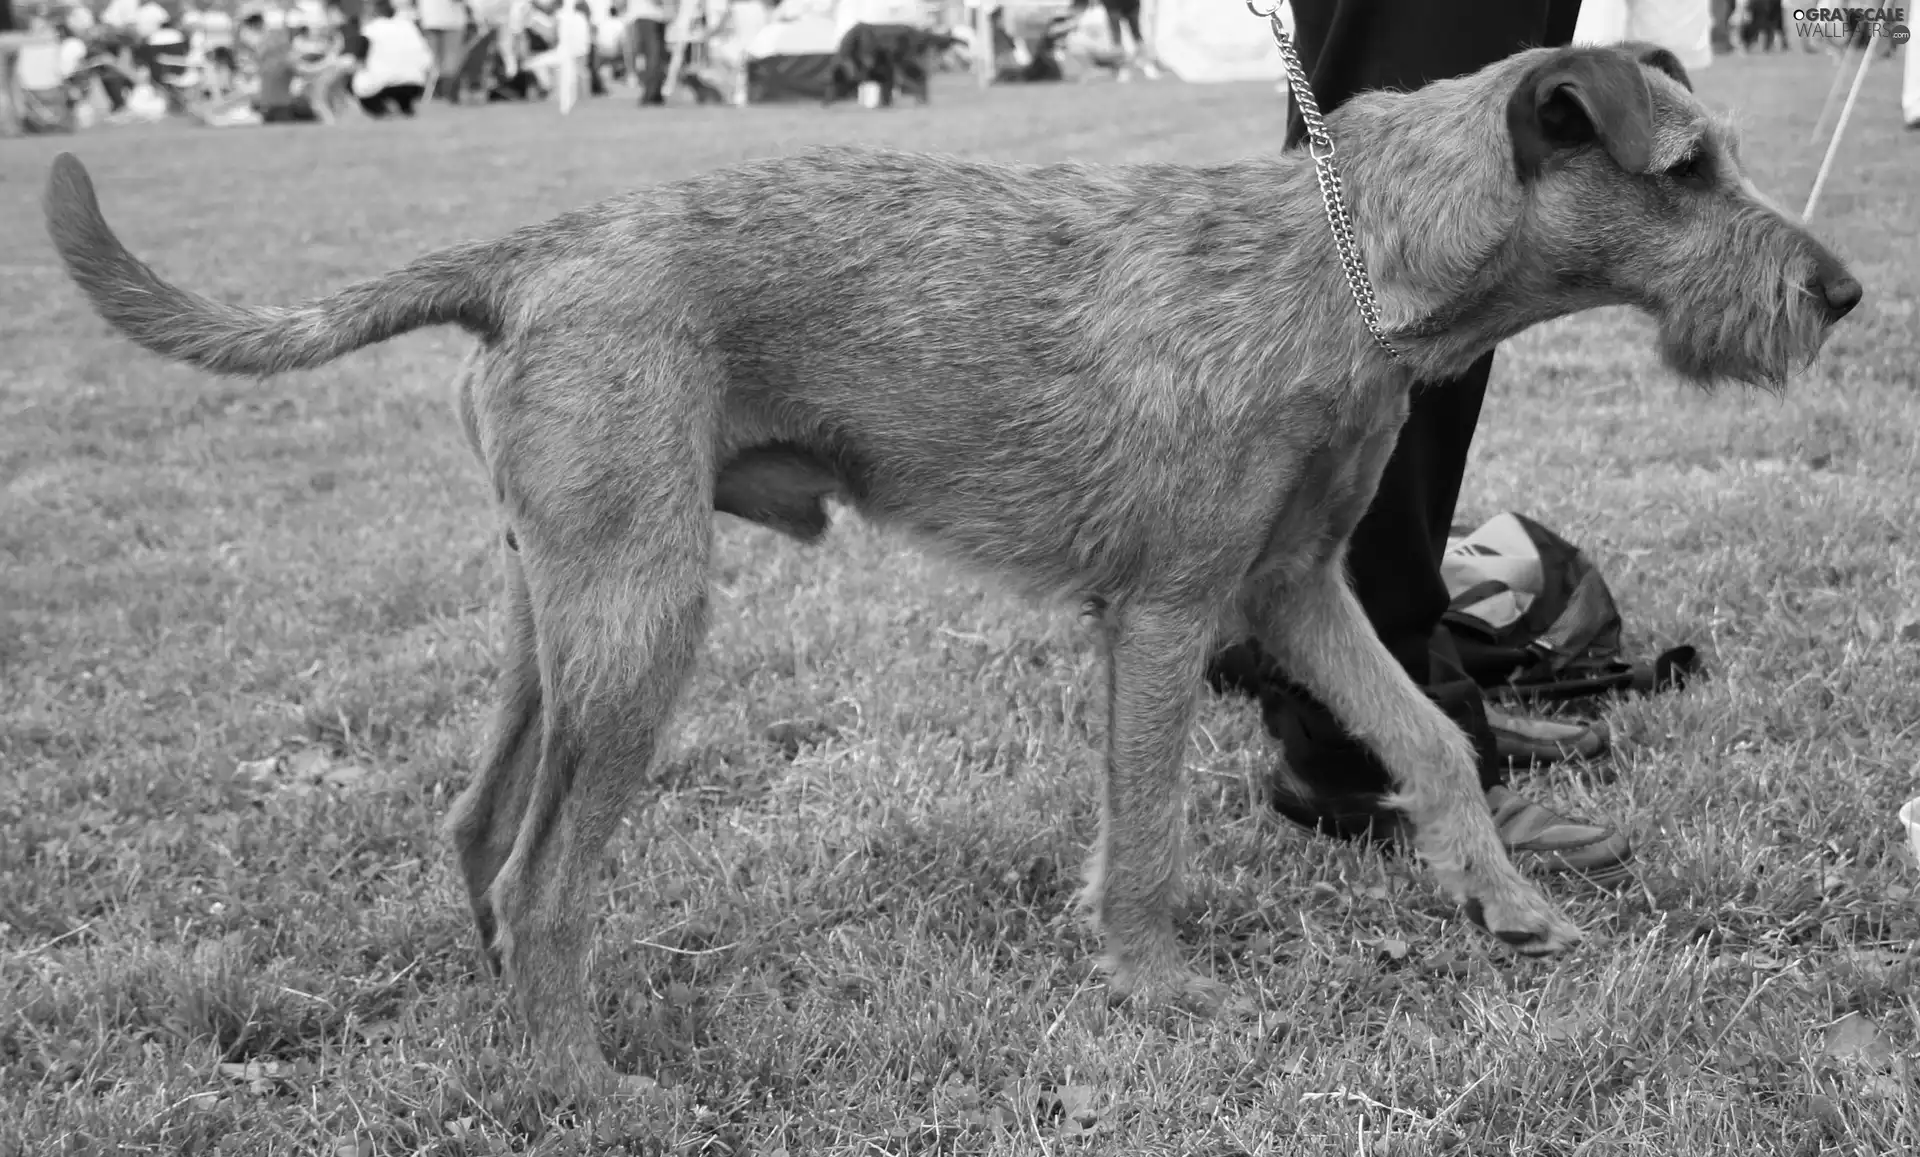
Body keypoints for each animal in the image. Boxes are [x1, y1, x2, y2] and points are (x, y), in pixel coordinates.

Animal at [45, 40, 1858, 1097]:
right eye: (1687, 170)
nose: (1841, 290)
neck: (1344, 271)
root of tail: (530, 252)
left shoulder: (1295, 589)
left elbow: (1424, 738)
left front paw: (1503, 898)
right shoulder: (1169, 613)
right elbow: (1148, 835)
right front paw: (1153, 987)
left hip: (560, 613)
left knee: (481, 832)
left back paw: (520, 1021)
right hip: (643, 630)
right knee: (548, 874)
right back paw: (582, 1086)